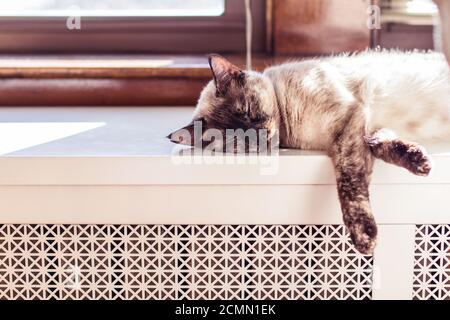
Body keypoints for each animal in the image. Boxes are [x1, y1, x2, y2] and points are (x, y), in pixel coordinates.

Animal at [168, 50, 450, 255]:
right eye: (237, 141)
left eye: (248, 110)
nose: (260, 134)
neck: (289, 131)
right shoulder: (364, 129)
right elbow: (380, 145)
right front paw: (419, 161)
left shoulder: (350, 120)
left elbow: (349, 182)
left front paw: (364, 237)